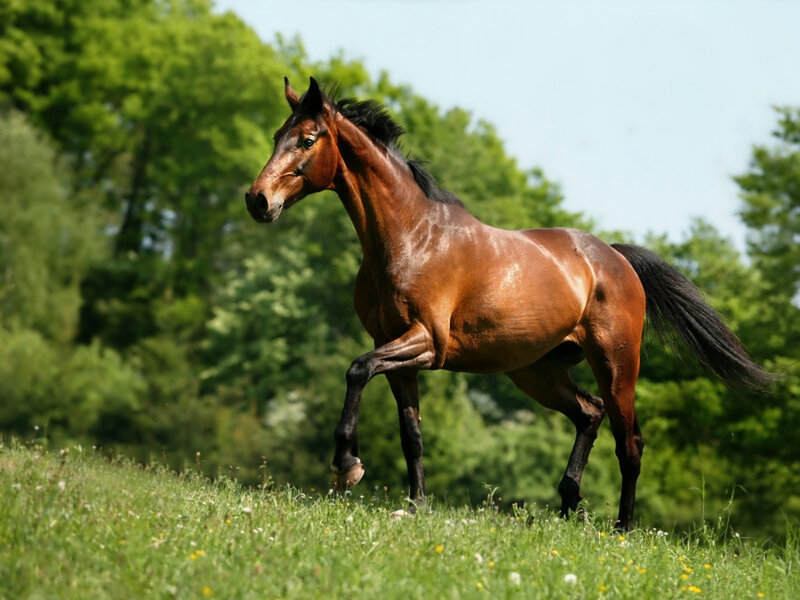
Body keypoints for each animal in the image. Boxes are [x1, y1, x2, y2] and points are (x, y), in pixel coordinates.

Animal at [245, 77, 771, 530]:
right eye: (276, 136)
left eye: (307, 139)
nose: (257, 200)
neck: (410, 237)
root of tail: (614, 257)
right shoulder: (395, 350)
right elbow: (411, 434)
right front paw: (415, 507)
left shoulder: (424, 343)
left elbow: (356, 369)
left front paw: (346, 466)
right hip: (538, 371)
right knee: (590, 413)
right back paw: (567, 507)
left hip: (616, 363)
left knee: (630, 441)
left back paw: (622, 527)